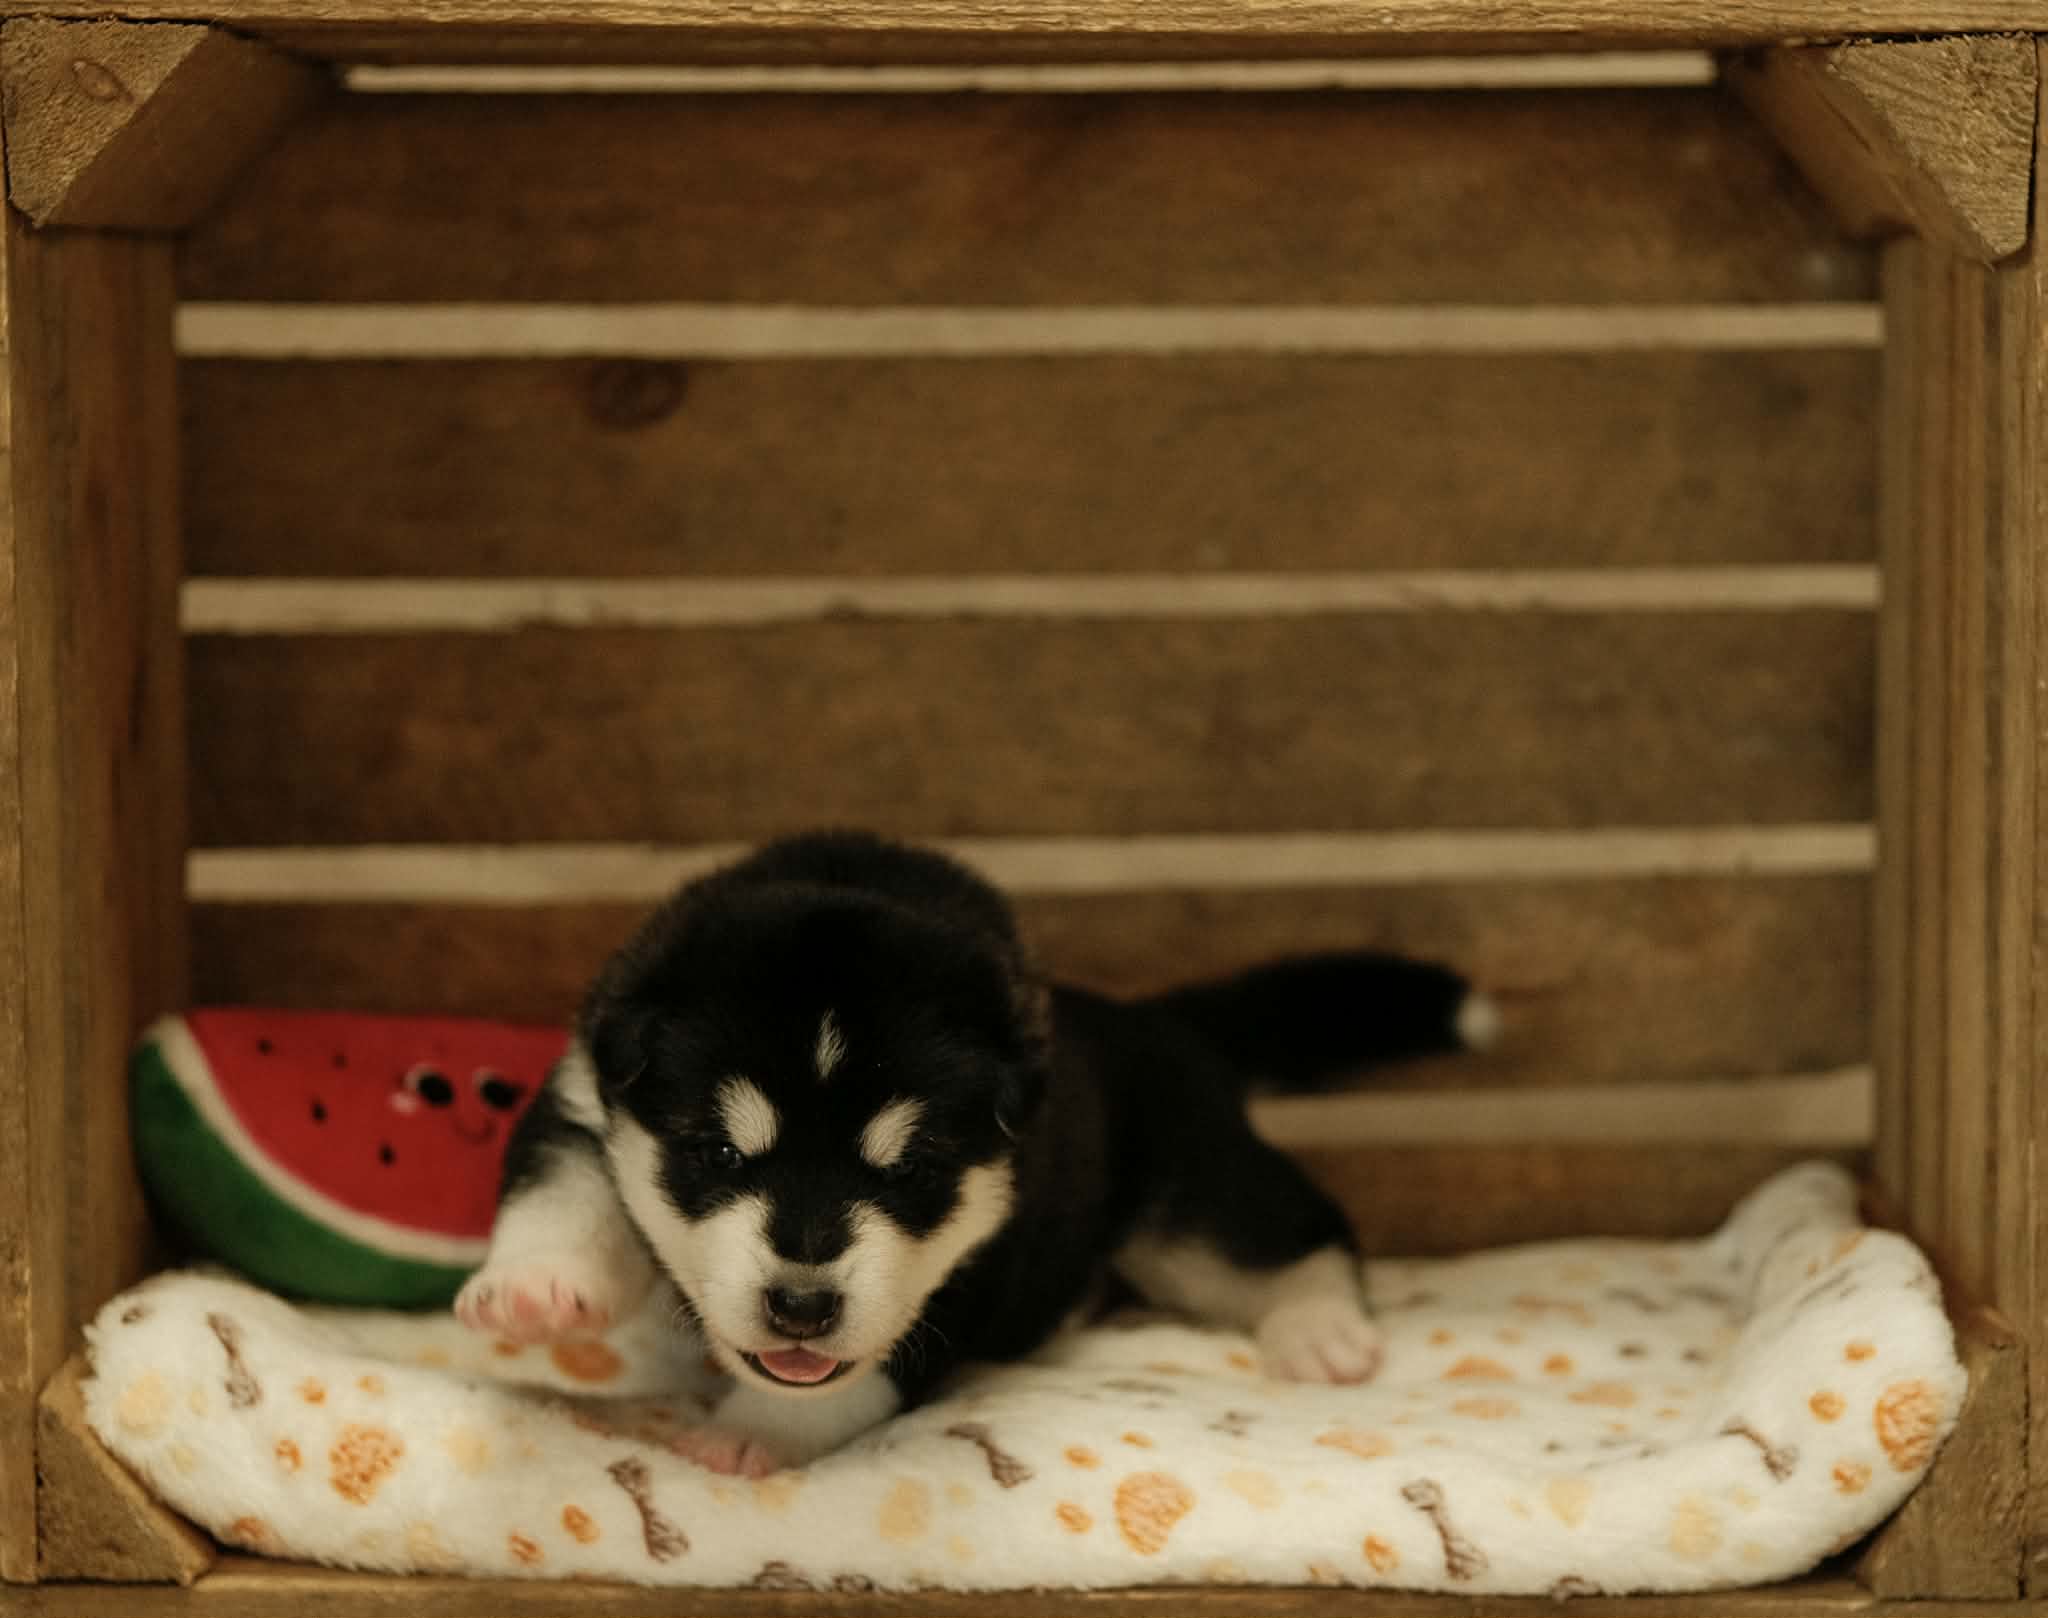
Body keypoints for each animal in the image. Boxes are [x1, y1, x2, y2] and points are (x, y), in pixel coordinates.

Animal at [457, 831, 1494, 1475]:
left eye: (912, 1172)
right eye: (716, 1152)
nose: (802, 1306)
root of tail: (1155, 1019)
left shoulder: (971, 1266)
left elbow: (863, 1371)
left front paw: (754, 1436)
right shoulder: (584, 1099)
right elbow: (562, 1194)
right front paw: (537, 1290)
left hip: (1185, 1201)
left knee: (1295, 1231)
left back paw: (1322, 1331)